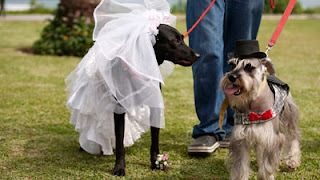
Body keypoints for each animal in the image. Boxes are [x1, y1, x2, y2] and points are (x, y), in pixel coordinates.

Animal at [111, 24, 199, 176]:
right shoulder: (119, 110)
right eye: (175, 41)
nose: (198, 55)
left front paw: (156, 163)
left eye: (182, 38)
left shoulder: (156, 107)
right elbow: (119, 141)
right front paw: (119, 167)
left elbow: (155, 141)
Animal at [219, 40, 302, 180]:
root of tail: (273, 76)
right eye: (232, 65)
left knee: (293, 137)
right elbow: (240, 167)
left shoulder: (273, 138)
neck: (252, 102)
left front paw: (266, 175)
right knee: (260, 150)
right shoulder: (241, 139)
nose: (231, 77)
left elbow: (267, 166)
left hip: (289, 116)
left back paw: (293, 160)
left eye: (249, 66)